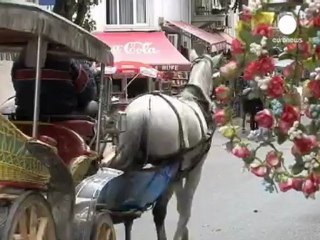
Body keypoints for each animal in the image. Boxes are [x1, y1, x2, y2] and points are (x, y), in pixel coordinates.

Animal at [107, 49, 222, 239]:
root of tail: (142, 113)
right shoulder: (195, 169)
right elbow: (185, 207)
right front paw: (182, 233)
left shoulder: (179, 172)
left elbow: (181, 204)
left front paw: (184, 232)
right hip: (167, 168)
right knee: (159, 212)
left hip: (135, 163)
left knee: (127, 213)